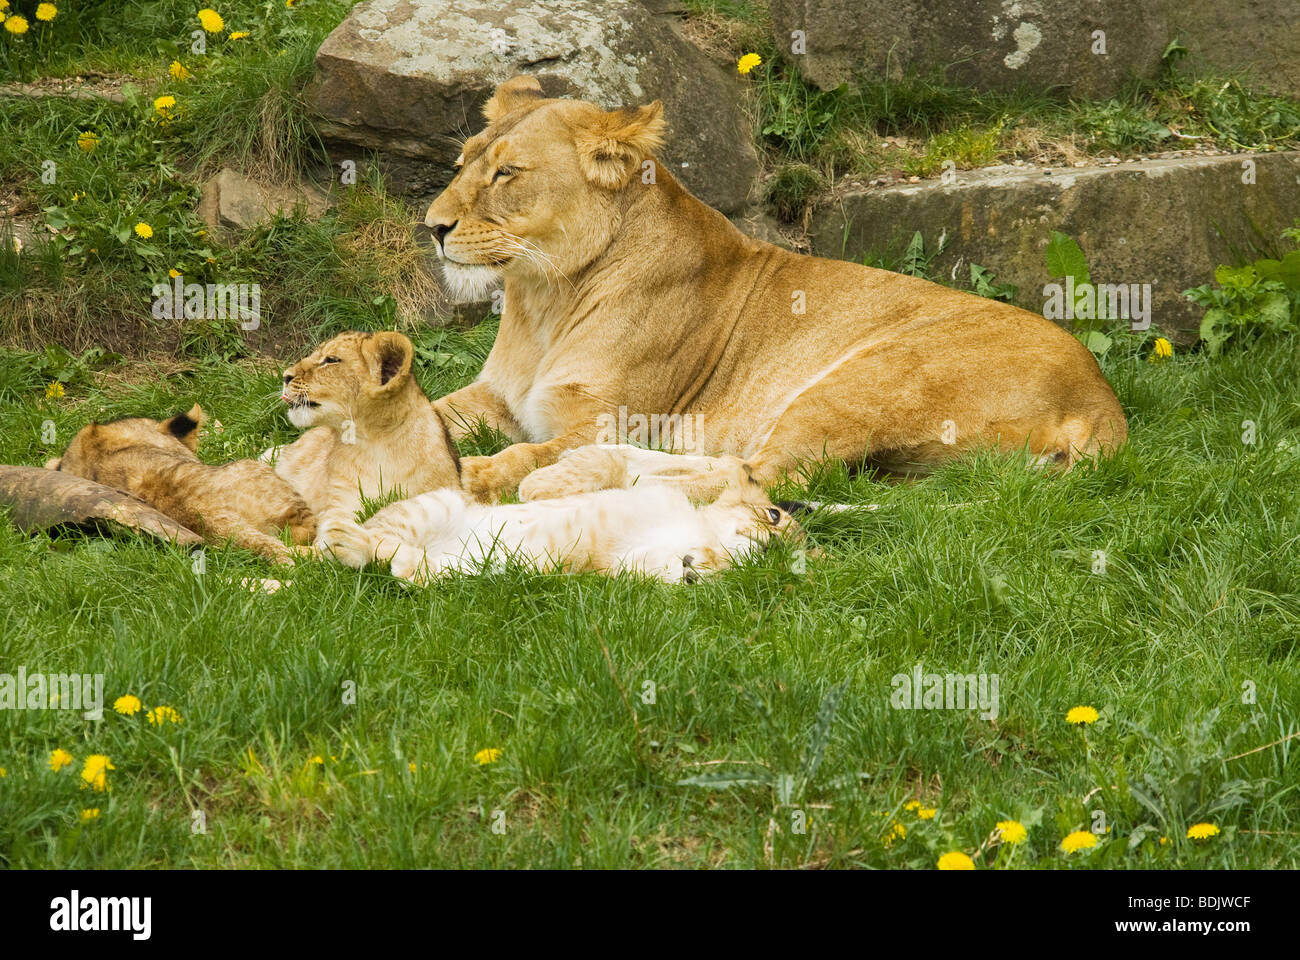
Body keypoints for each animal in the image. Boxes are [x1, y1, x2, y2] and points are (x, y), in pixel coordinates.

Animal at [423, 75, 1127, 504]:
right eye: (461, 164)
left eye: (508, 173)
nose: (432, 227)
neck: (542, 300)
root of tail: (1101, 399)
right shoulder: (495, 398)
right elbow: (420, 410)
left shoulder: (610, 416)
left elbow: (528, 450)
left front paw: (480, 470)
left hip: (868, 378)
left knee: (759, 476)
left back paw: (558, 482)